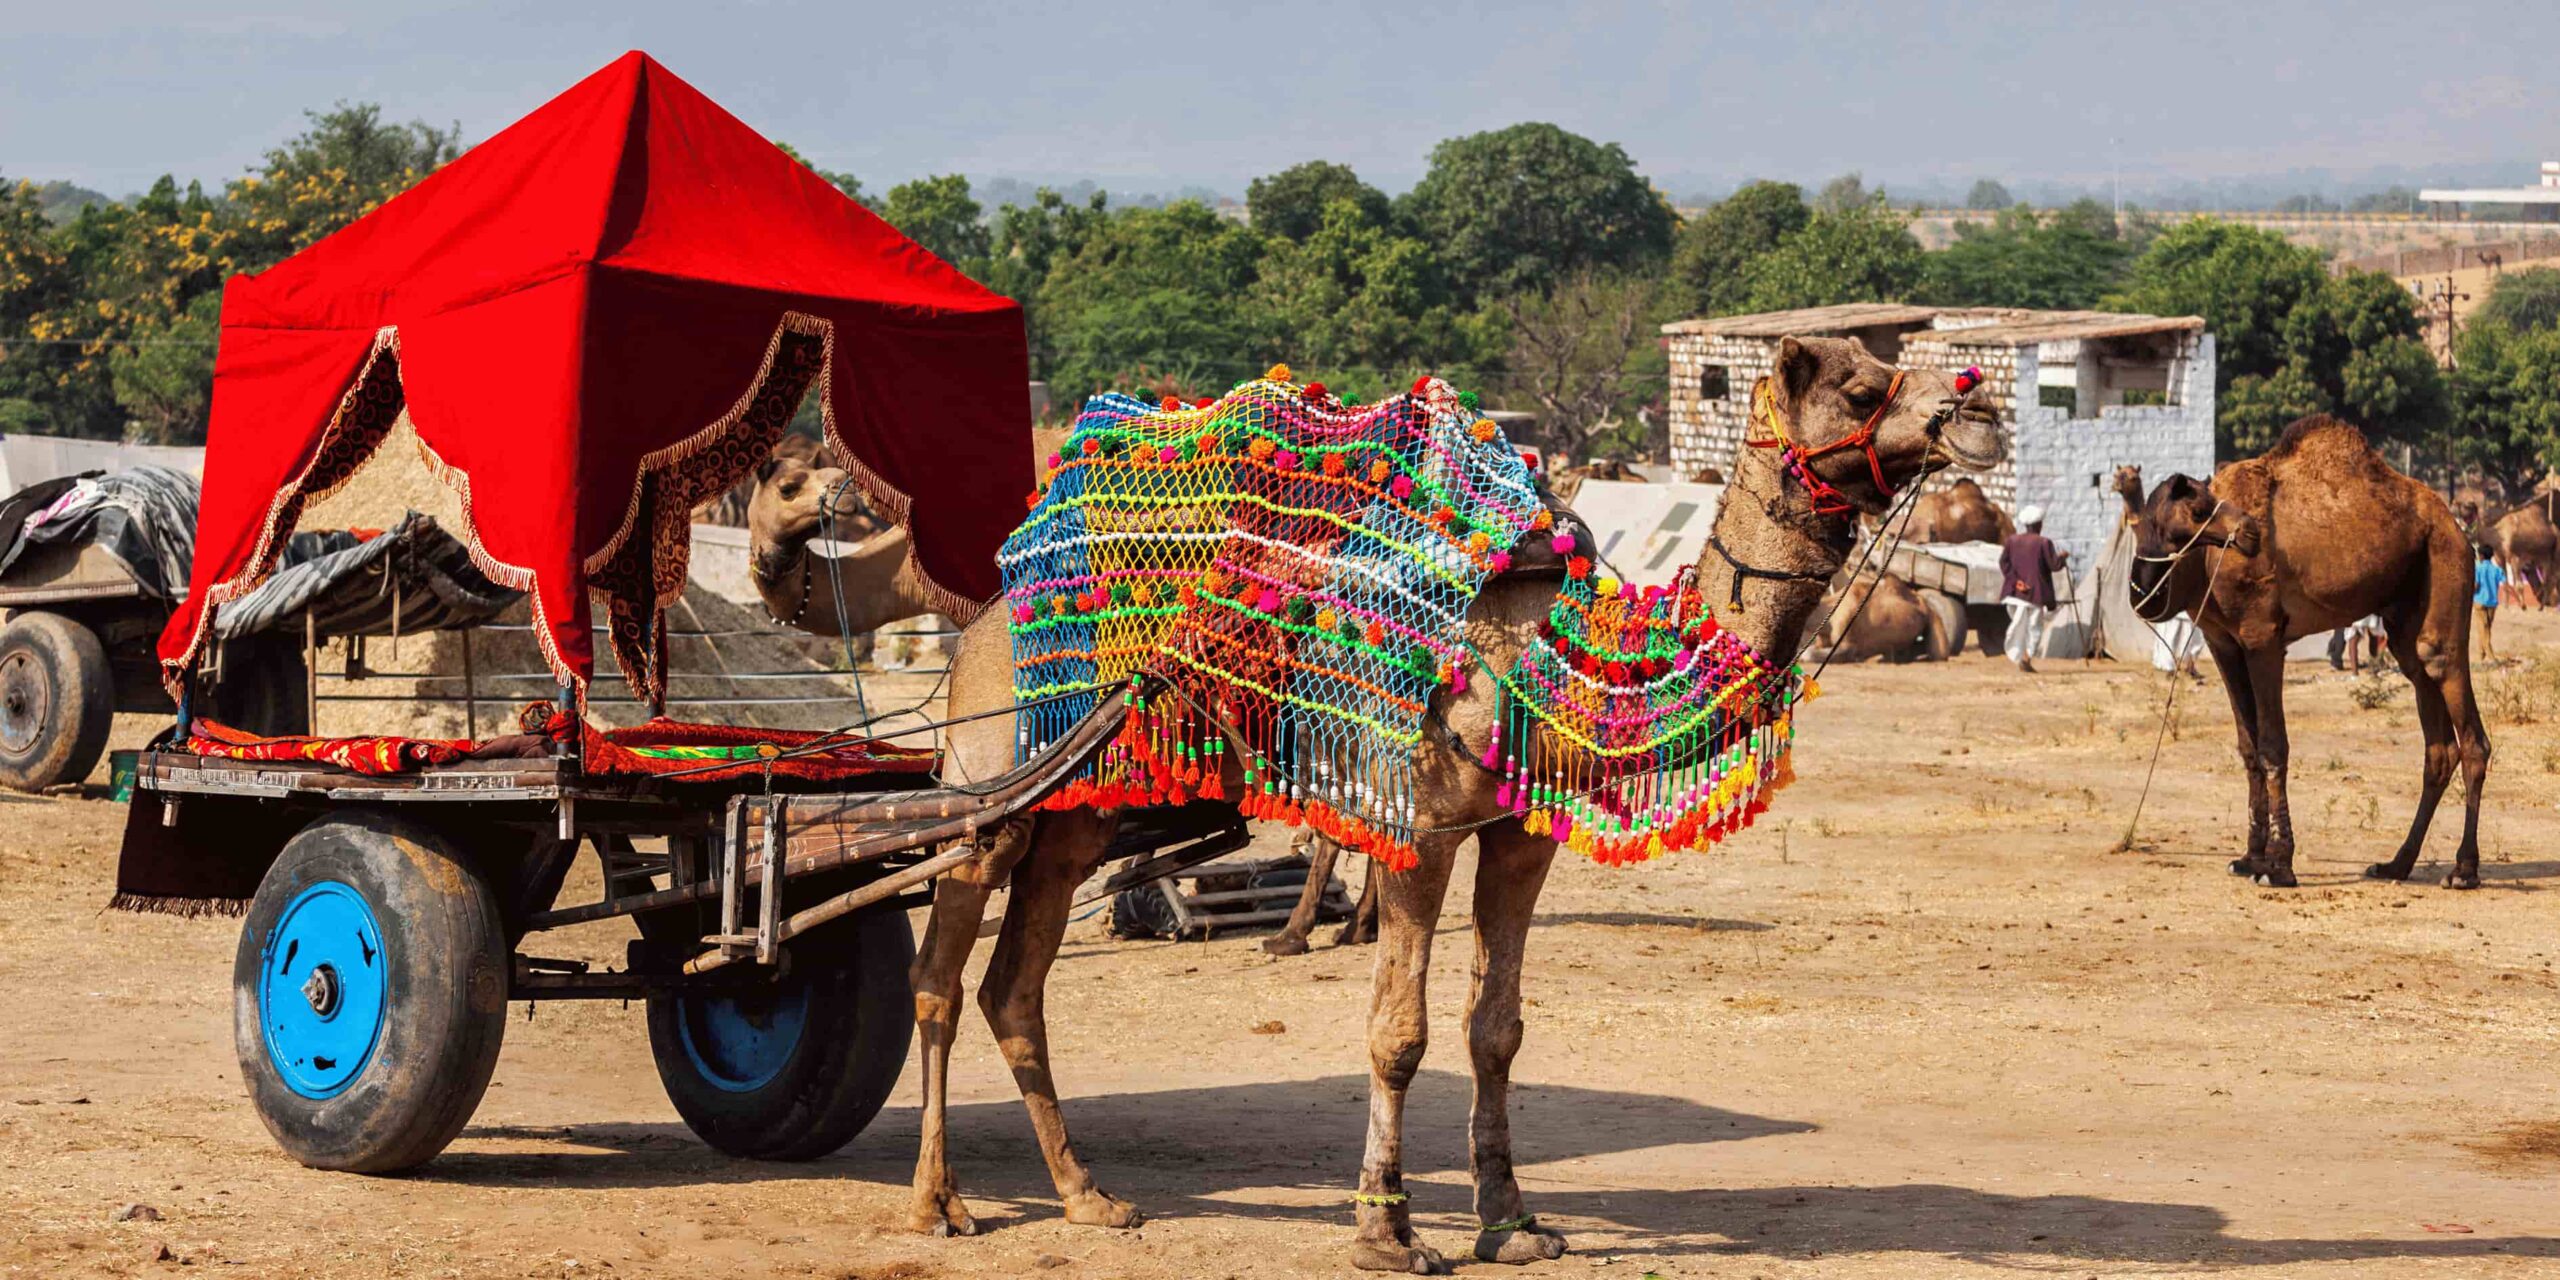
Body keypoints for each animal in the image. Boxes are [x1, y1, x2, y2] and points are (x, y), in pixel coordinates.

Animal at [749, 338, 2003, 1270]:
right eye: (1860, 386)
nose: (1981, 410)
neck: (1553, 644)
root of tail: (980, 612)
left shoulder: (1516, 833)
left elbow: (1497, 1026)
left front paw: (1511, 1220)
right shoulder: (1420, 817)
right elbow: (1399, 1031)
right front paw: (1388, 1228)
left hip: (1083, 807)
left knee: (1015, 984)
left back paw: (1088, 1196)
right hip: (992, 777)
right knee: (935, 974)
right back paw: (937, 1202)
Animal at [2127, 416, 2491, 890]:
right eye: (2199, 510)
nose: (2250, 532)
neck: (2202, 566)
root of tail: (2457, 527)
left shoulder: (2262, 638)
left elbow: (2272, 747)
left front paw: (2279, 866)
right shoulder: (2223, 642)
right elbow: (2248, 748)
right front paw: (2248, 858)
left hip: (2445, 567)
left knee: (2462, 713)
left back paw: (2463, 870)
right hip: (2406, 617)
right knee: (2437, 741)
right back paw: (2396, 864)